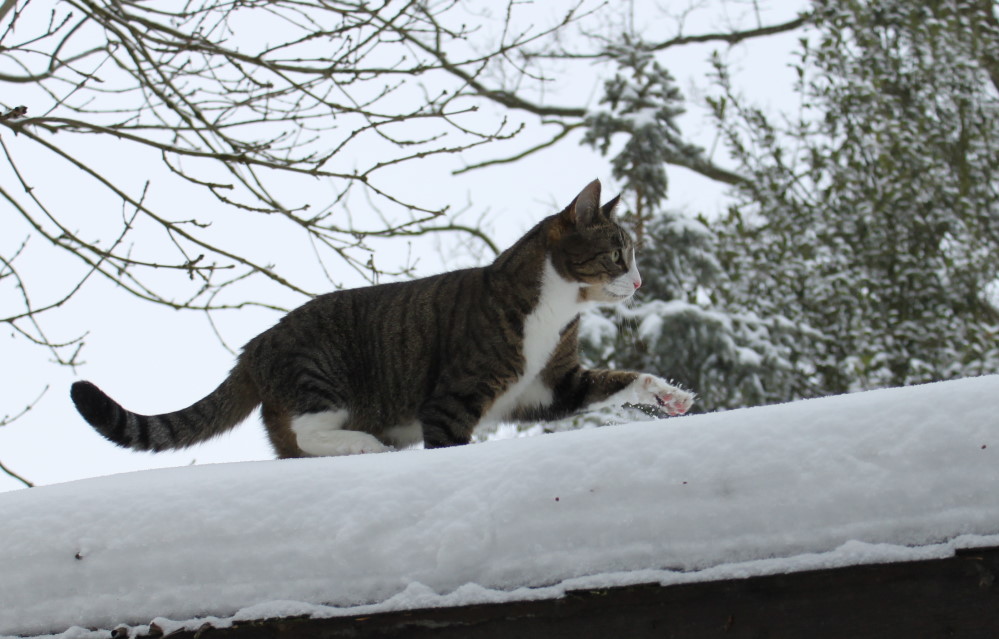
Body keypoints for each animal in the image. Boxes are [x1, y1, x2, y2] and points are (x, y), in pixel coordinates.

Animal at [72, 181, 696, 460]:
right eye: (618, 254)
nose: (640, 282)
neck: (557, 310)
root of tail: (254, 347)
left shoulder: (548, 385)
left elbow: (614, 382)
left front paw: (668, 394)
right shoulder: (453, 398)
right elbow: (449, 441)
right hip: (323, 372)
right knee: (308, 428)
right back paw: (367, 444)